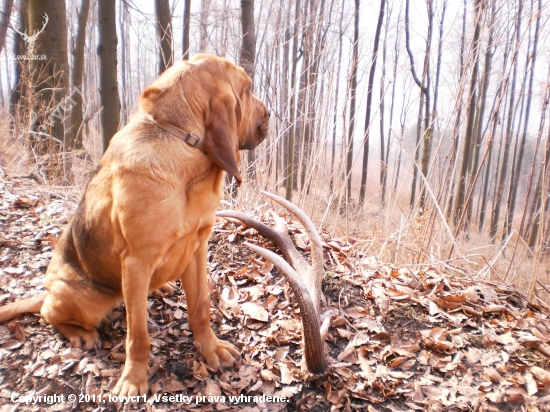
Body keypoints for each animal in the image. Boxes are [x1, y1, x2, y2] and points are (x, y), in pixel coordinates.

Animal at [0, 54, 272, 396]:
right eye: (246, 90)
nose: (270, 113)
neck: (182, 141)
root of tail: (48, 288)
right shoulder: (137, 261)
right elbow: (138, 336)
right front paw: (133, 380)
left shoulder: (197, 248)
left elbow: (200, 308)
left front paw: (211, 349)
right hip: (85, 298)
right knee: (49, 312)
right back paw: (79, 333)